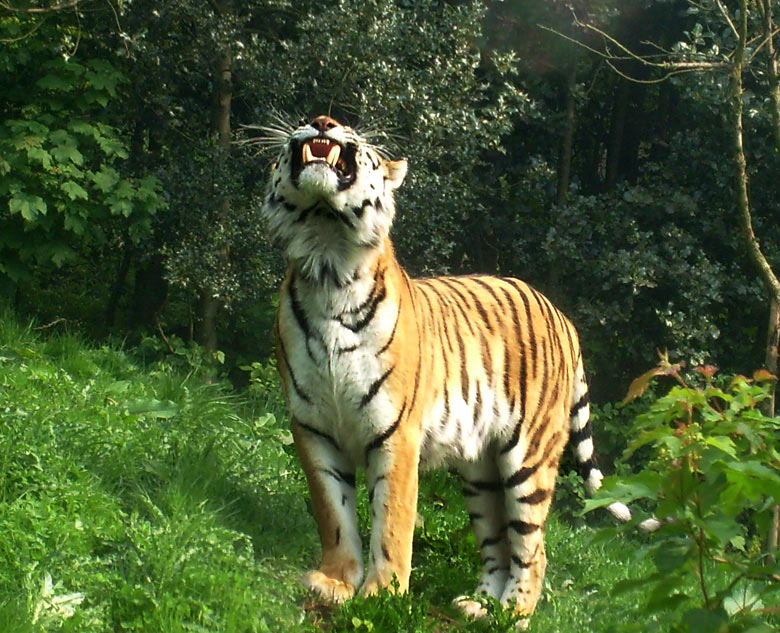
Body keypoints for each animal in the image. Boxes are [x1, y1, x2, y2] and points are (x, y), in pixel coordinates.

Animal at [258, 115, 632, 624]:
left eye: (351, 132)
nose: (323, 121)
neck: (328, 254)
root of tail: (563, 316)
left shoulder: (396, 433)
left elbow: (392, 523)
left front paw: (382, 595)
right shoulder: (313, 427)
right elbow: (332, 512)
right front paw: (335, 582)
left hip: (528, 460)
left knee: (534, 549)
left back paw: (513, 615)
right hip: (481, 473)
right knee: (498, 543)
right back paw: (479, 606)